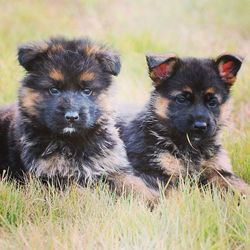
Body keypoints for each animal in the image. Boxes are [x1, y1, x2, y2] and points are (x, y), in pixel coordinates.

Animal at [0, 38, 158, 203]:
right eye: (54, 90)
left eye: (86, 91)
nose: (71, 117)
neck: (75, 141)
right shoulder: (52, 178)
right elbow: (81, 193)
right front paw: (99, 202)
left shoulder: (110, 165)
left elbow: (133, 183)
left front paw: (153, 200)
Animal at [120, 52, 248, 196]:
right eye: (181, 99)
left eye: (212, 102)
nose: (200, 126)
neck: (190, 147)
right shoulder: (153, 172)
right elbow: (174, 193)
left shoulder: (219, 171)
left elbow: (239, 184)